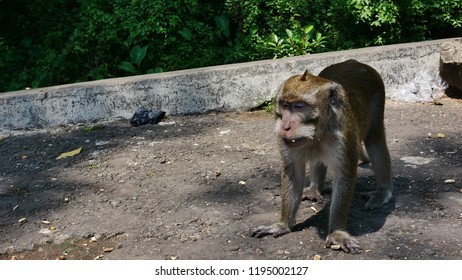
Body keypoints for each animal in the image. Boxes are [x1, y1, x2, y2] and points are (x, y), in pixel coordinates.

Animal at [251, 59, 392, 254]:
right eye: (285, 105)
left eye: (299, 106)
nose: (285, 127)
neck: (319, 131)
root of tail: (354, 62)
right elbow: (293, 173)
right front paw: (283, 224)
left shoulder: (344, 137)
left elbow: (344, 176)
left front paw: (337, 233)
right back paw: (314, 189)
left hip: (378, 96)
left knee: (375, 140)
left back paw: (383, 192)